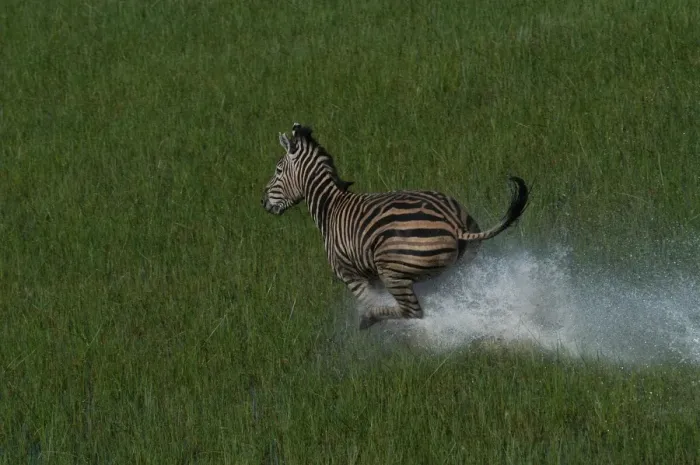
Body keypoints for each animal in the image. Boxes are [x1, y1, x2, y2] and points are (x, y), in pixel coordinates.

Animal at [262, 123, 529, 330]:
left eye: (278, 170)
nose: (262, 202)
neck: (331, 207)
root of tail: (452, 222)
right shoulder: (369, 275)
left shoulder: (351, 275)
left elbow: (369, 301)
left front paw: (371, 322)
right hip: (463, 265)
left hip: (392, 270)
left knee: (413, 311)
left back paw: (371, 320)